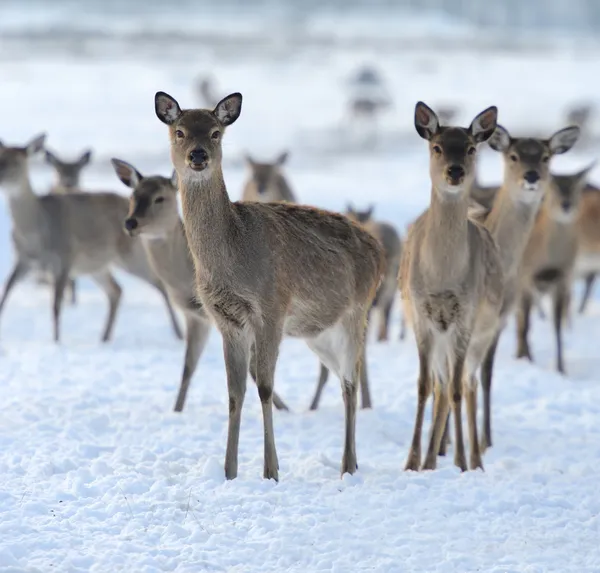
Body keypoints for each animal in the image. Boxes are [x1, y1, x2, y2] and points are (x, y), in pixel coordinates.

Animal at [0, 133, 183, 344]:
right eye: (0, 158)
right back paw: (104, 338)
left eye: (17, 163)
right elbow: (5, 292)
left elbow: (56, 306)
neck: (35, 229)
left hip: (132, 254)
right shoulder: (23, 260)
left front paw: (56, 341)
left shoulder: (64, 257)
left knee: (158, 283)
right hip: (96, 265)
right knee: (116, 290)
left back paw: (178, 334)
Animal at [113, 159, 292, 414]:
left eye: (160, 198)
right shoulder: (196, 316)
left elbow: (252, 369)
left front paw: (284, 408)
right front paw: (177, 410)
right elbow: (188, 367)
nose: (130, 223)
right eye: (132, 196)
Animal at [155, 91, 384, 480]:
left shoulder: (272, 308)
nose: (198, 156)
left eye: (215, 132)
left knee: (350, 382)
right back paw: (350, 462)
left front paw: (271, 471)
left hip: (356, 313)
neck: (233, 257)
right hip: (317, 332)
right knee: (342, 378)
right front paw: (229, 471)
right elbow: (235, 392)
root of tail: (378, 251)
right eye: (180, 131)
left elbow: (264, 387)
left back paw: (347, 464)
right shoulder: (226, 319)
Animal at [400, 100, 504, 472]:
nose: (455, 171)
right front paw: (412, 461)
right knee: (442, 384)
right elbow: (422, 386)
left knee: (466, 384)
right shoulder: (421, 315)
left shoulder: (466, 317)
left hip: (482, 334)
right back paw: (431, 459)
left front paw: (460, 461)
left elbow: (459, 389)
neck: (442, 275)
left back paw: (473, 458)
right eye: (437, 146)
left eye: (471, 148)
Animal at [516, 161, 596, 376]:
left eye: (576, 187)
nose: (566, 204)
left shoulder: (562, 279)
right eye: (553, 188)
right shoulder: (525, 278)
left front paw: (561, 368)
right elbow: (526, 325)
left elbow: (557, 327)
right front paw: (527, 360)